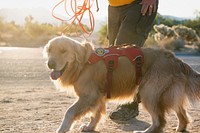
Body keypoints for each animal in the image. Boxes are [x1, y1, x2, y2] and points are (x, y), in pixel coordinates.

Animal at [43, 35, 200, 133]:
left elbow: (69, 112)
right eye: (49, 50)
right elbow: (96, 114)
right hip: (169, 94)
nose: (50, 64)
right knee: (182, 114)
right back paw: (181, 128)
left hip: (148, 93)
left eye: (63, 51)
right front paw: (90, 127)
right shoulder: (98, 96)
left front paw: (62, 128)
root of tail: (174, 59)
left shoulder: (89, 96)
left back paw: (145, 131)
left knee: (159, 121)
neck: (84, 63)